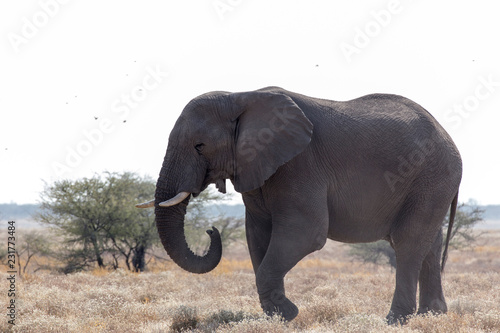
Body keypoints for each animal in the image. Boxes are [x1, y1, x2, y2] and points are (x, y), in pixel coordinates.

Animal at [136, 85, 460, 322]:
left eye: (199, 146)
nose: (211, 230)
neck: (239, 96)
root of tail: (447, 135)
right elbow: (258, 236)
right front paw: (279, 316)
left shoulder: (299, 164)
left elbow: (306, 234)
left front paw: (289, 314)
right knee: (428, 244)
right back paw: (432, 315)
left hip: (432, 175)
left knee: (408, 242)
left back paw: (395, 320)